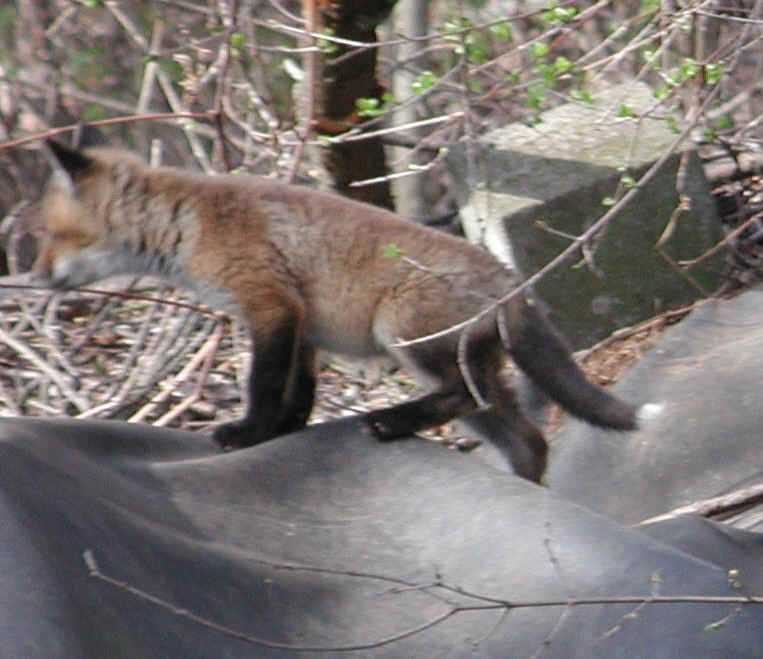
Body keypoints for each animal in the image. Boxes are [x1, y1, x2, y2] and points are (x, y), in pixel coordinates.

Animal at [32, 139, 654, 482]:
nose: (35, 276)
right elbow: (299, 394)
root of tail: (513, 280)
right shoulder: (302, 322)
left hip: (402, 334)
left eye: (51, 236)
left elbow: (264, 385)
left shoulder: (270, 304)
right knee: (527, 439)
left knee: (462, 398)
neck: (190, 224)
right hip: (471, 368)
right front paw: (284, 433)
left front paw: (250, 434)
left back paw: (389, 422)